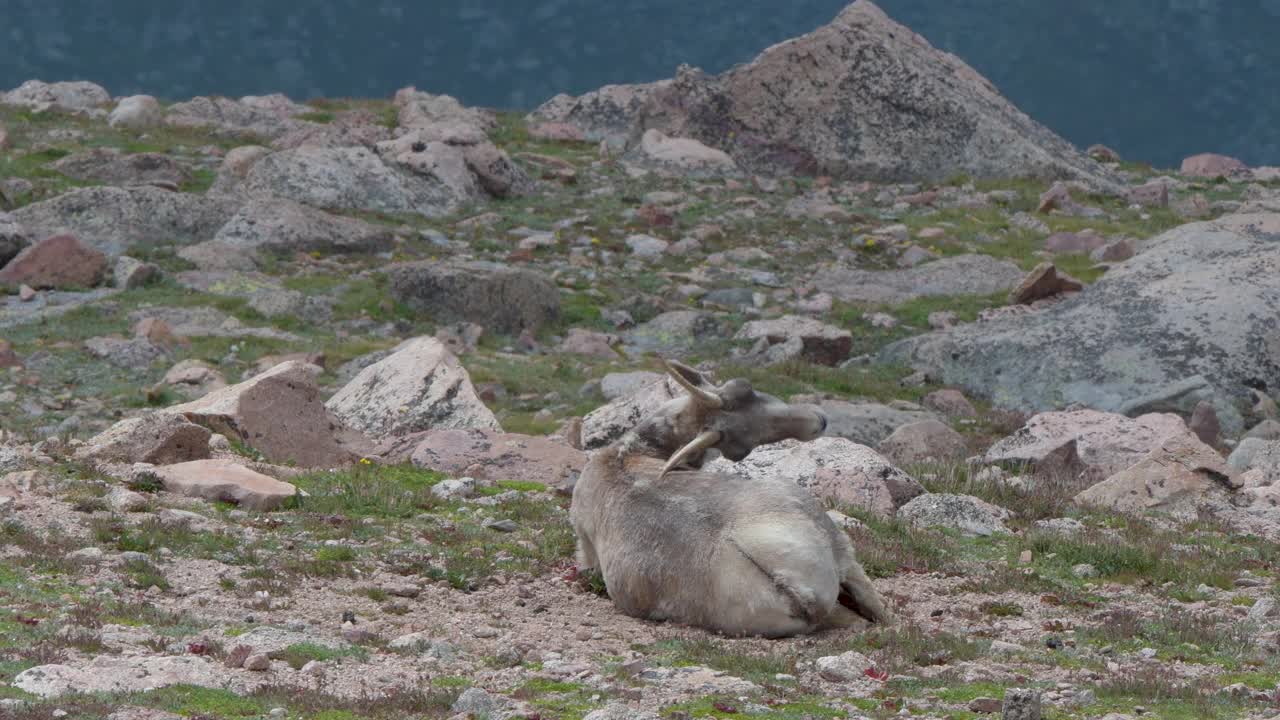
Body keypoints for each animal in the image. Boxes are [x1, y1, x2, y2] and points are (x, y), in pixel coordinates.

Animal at [570, 358, 890, 632]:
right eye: (740, 451)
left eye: (746, 388)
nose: (817, 421)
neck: (627, 455)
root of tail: (795, 587)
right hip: (831, 537)